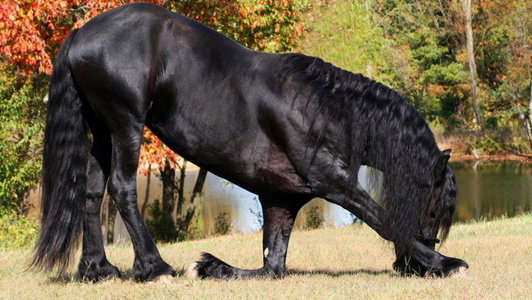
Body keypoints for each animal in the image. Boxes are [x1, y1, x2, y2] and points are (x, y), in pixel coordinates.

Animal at [33, 3, 468, 282]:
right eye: (433, 208)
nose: (408, 268)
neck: (321, 108)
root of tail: (81, 34)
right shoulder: (333, 182)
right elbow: (380, 218)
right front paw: (445, 262)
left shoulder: (281, 201)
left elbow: (271, 267)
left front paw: (212, 267)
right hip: (126, 123)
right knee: (122, 189)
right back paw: (154, 268)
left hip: (101, 130)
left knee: (91, 192)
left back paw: (98, 269)